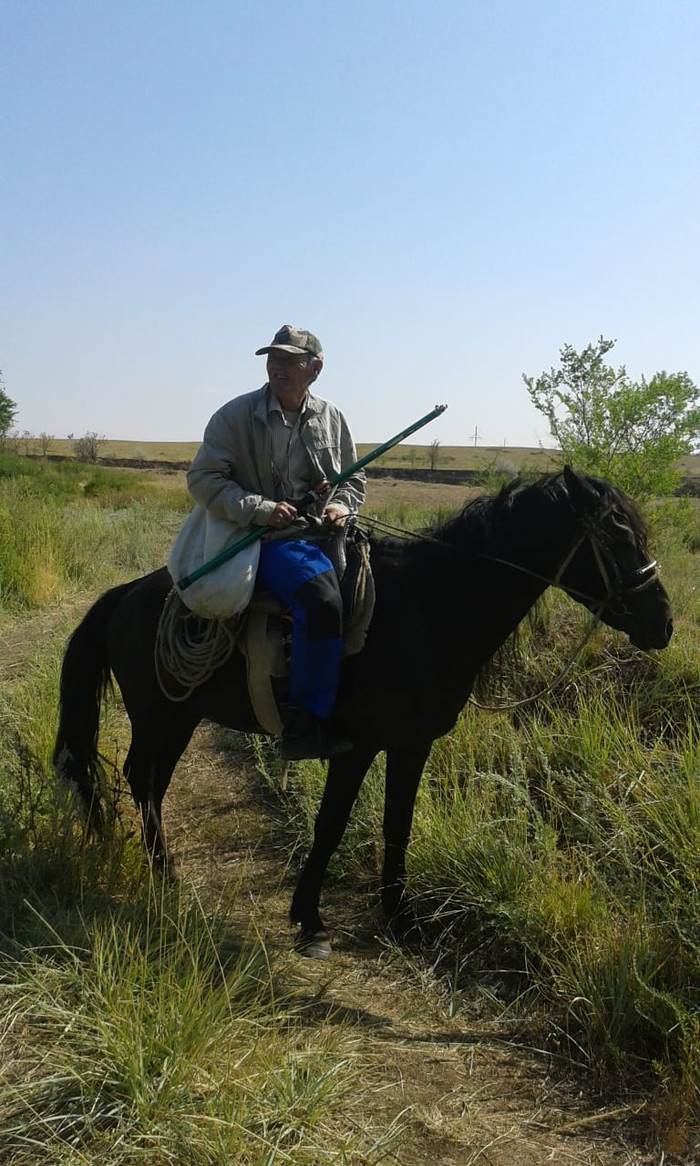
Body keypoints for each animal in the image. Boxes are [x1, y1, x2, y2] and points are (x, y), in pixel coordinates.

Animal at [53, 468, 672, 960]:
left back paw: (158, 868)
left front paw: (402, 919)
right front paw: (310, 919)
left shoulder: (412, 744)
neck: (429, 611)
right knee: (142, 777)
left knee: (149, 782)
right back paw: (164, 875)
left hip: (177, 718)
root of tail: (128, 593)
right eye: (616, 535)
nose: (662, 622)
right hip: (161, 713)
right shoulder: (357, 746)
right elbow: (332, 824)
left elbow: (398, 823)